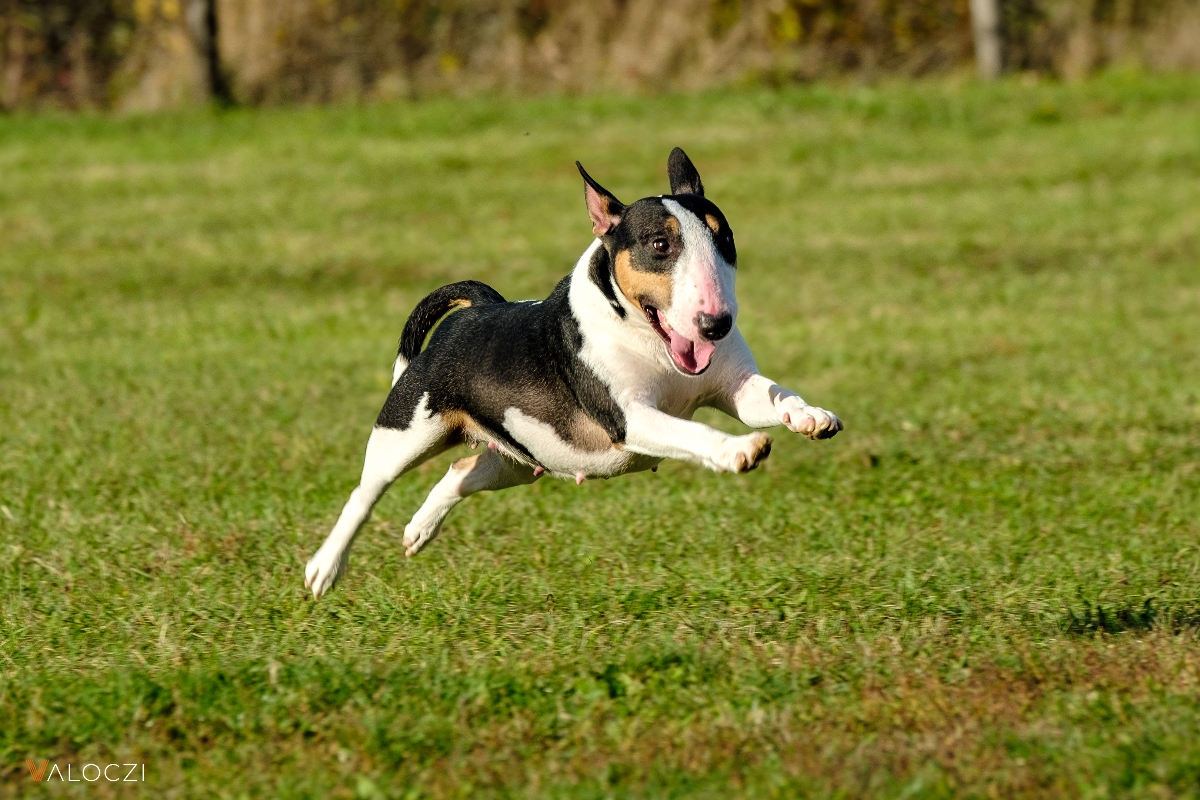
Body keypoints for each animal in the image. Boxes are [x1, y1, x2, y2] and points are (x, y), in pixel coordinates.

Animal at [304, 148, 840, 599]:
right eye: (659, 243)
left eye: (725, 237)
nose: (717, 323)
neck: (650, 341)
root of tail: (476, 311)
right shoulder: (630, 418)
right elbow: (694, 432)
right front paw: (739, 450)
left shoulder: (734, 387)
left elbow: (771, 397)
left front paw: (811, 417)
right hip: (406, 431)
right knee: (365, 493)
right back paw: (324, 569)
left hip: (522, 455)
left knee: (461, 472)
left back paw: (418, 531)